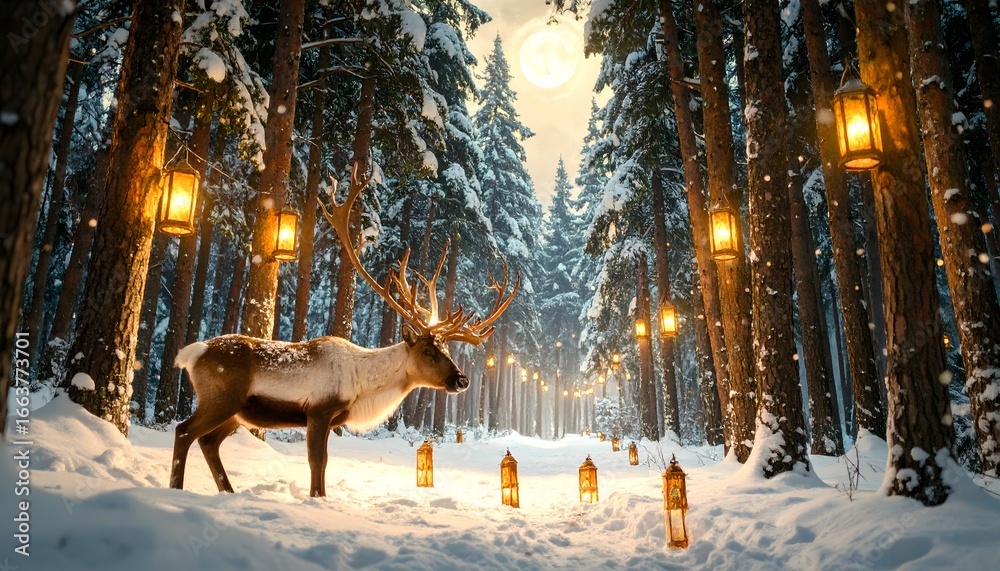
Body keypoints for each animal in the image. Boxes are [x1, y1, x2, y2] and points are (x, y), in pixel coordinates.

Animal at [169, 162, 519, 498]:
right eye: (428, 350)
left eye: (446, 348)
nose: (462, 380)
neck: (363, 384)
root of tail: (191, 353)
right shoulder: (319, 412)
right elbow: (317, 461)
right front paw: (316, 498)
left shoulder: (331, 418)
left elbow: (324, 463)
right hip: (220, 400)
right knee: (184, 431)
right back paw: (177, 488)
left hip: (235, 412)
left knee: (208, 442)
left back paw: (227, 491)